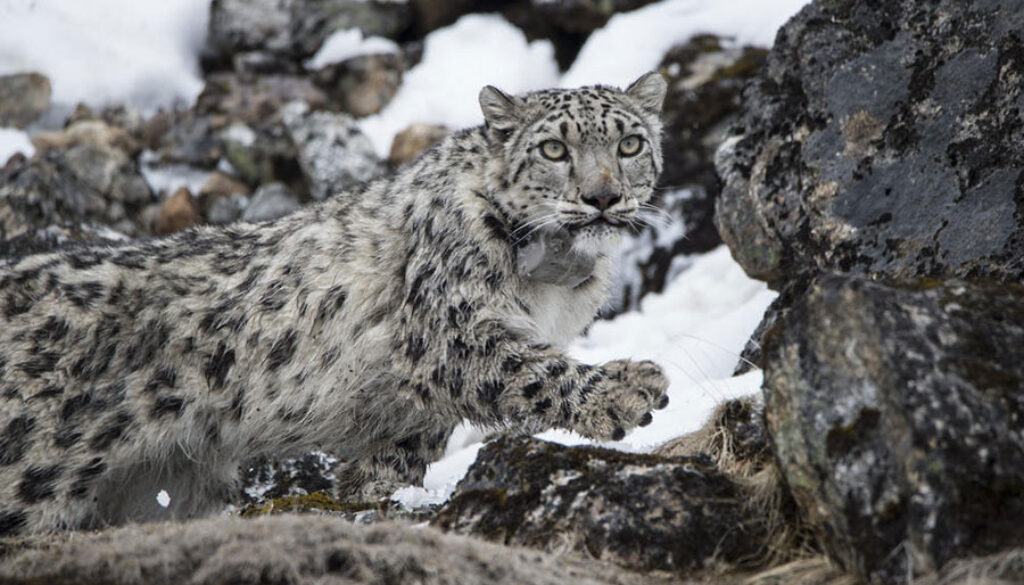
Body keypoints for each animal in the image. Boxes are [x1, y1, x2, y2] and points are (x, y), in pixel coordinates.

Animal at [0, 72, 670, 535]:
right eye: (555, 150)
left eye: (630, 144)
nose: (603, 197)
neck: (557, 283)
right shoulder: (451, 330)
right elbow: (528, 370)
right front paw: (626, 390)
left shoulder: (414, 414)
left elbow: (392, 462)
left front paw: (369, 494)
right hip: (31, 472)